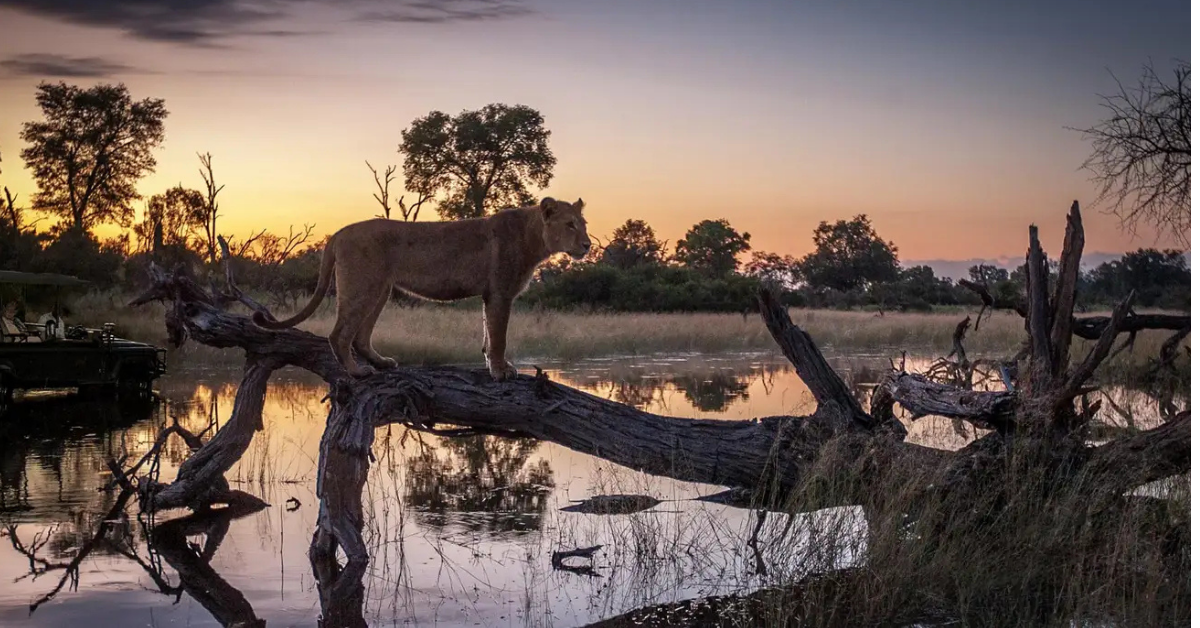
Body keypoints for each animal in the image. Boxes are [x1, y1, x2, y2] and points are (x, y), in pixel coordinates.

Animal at [252, 197, 591, 380]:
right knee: (339, 335)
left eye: (584, 224)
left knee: (360, 336)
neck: (534, 237)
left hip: (381, 289)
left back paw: (381, 363)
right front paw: (499, 371)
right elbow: (499, 337)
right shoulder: (500, 293)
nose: (588, 244)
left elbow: (487, 333)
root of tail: (338, 232)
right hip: (363, 286)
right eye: (570, 225)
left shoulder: (490, 295)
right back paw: (357, 372)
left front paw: (496, 365)